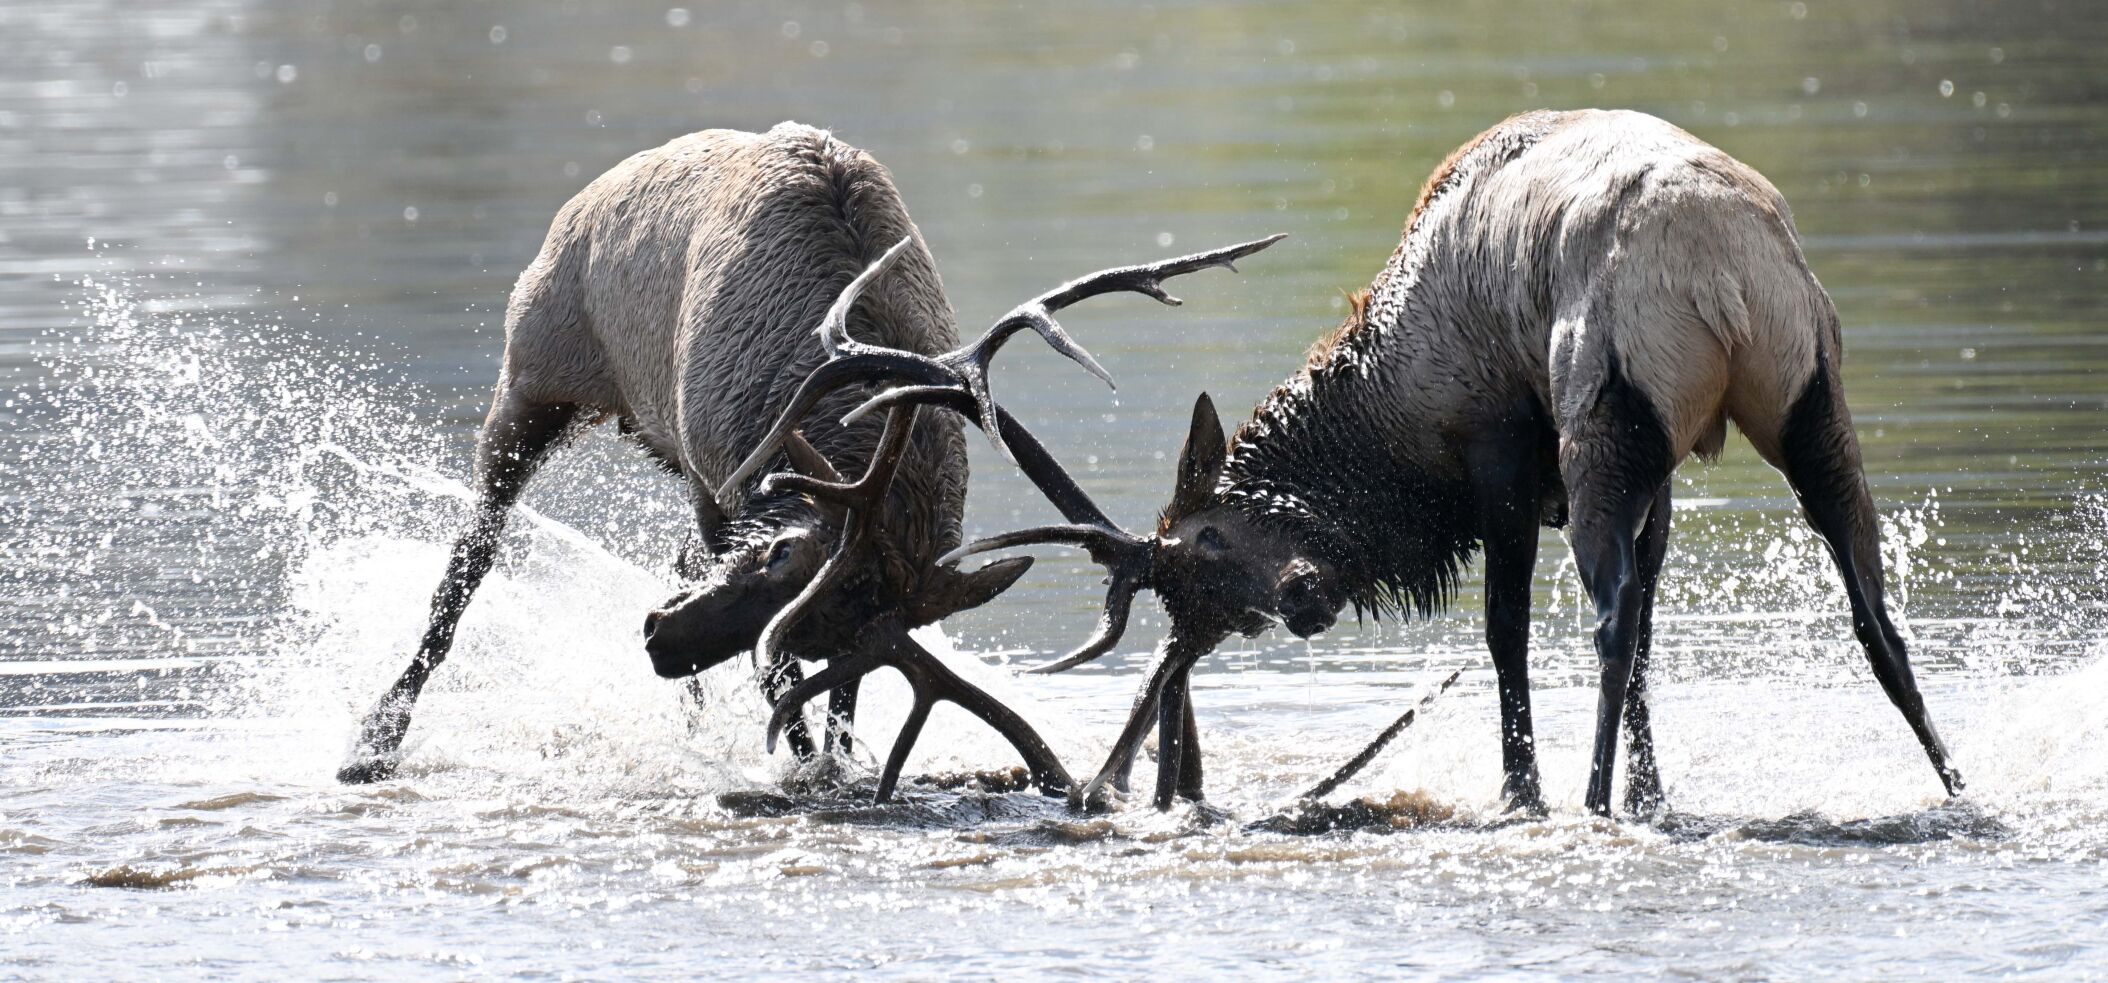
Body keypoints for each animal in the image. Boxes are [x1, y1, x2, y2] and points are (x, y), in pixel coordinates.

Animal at [881, 109, 1965, 816]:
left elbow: (1506, 634)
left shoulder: (1495, 455)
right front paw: (1655, 792)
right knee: (1873, 612)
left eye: (1206, 547)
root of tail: (1720, 274)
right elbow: (1655, 631)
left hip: (1601, 408)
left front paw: (1524, 789)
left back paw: (1588, 799)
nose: (1298, 597)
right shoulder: (1659, 480)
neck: (1391, 402)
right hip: (1808, 387)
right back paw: (1957, 786)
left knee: (1609, 620)